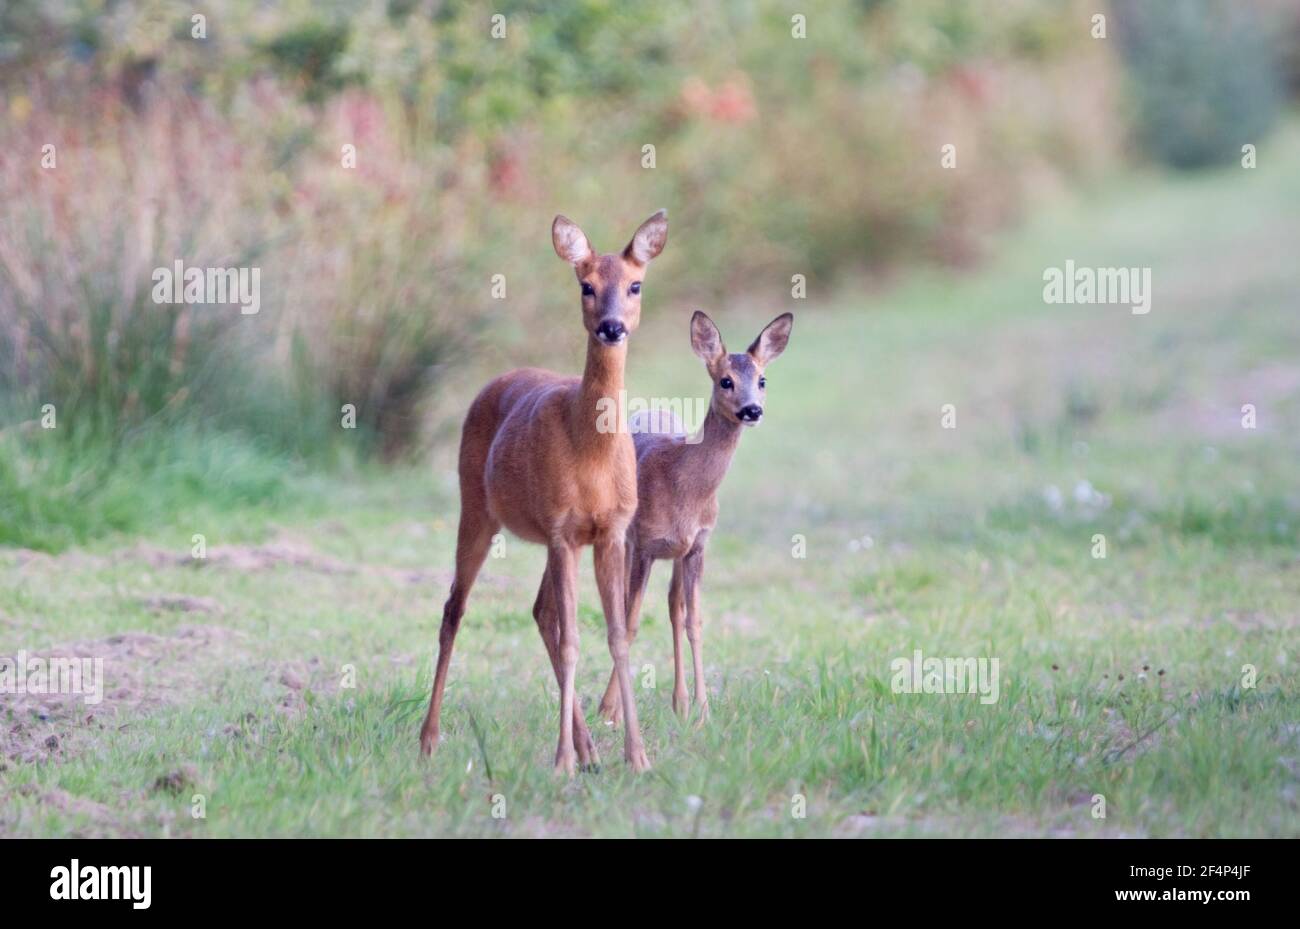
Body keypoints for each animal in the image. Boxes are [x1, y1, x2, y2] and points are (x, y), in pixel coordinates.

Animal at [418, 210, 668, 775]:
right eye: (586, 285)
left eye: (636, 284)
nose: (612, 326)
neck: (591, 456)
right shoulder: (560, 528)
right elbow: (574, 641)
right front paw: (561, 762)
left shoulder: (609, 531)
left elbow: (617, 636)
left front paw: (636, 756)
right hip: (475, 507)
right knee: (454, 610)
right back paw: (429, 738)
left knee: (540, 613)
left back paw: (590, 748)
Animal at [591, 310, 794, 725]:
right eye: (725, 380)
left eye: (762, 380)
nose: (752, 410)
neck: (683, 487)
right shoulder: (646, 543)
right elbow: (631, 621)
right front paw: (609, 710)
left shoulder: (698, 545)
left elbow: (693, 621)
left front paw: (702, 708)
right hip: (624, 538)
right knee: (621, 606)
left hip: (676, 554)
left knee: (673, 605)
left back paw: (679, 701)